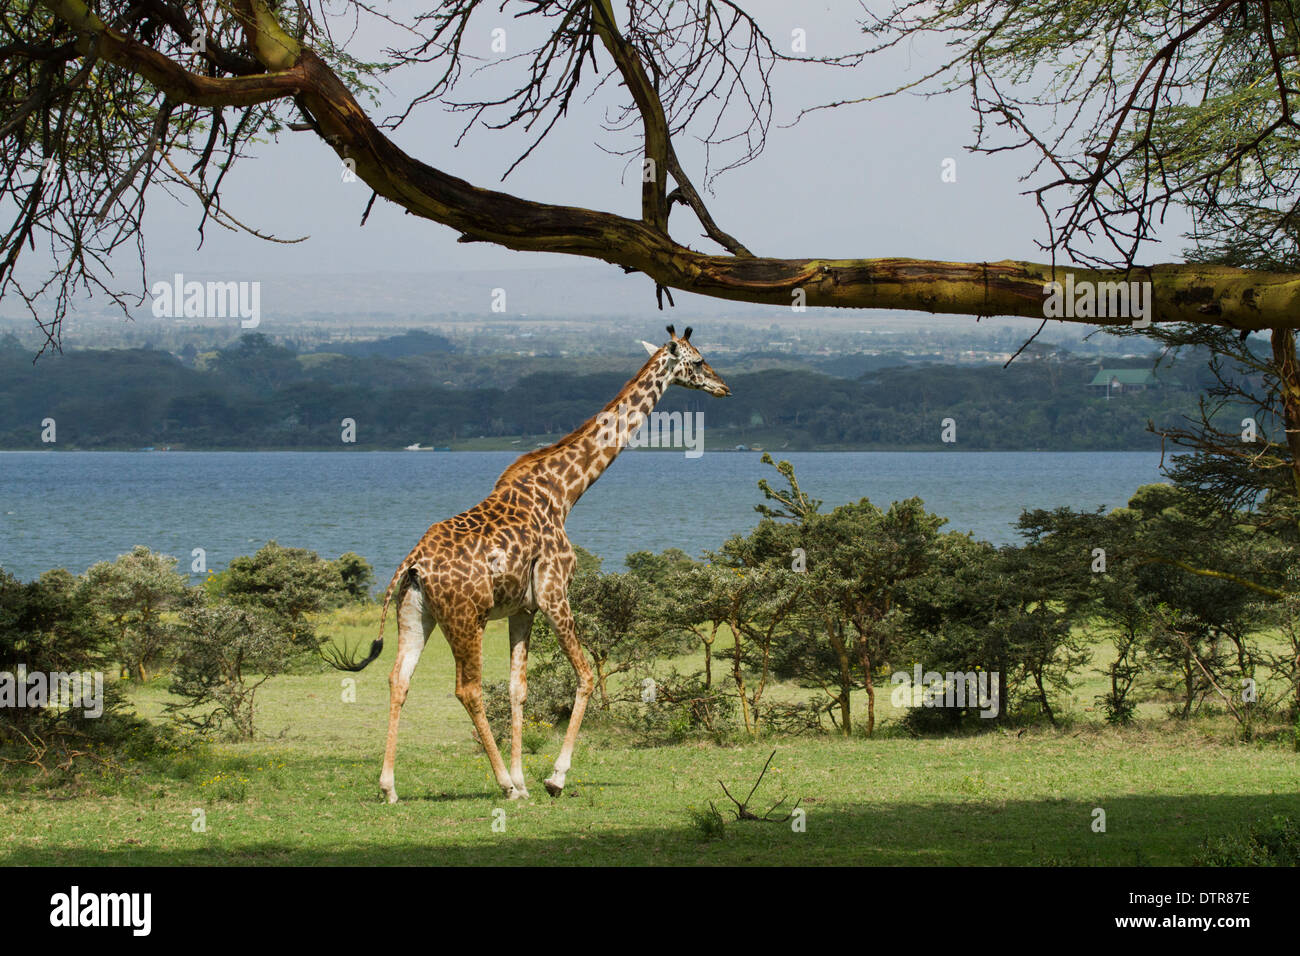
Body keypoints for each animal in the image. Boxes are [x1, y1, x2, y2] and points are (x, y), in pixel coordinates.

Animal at [325, 325, 733, 806]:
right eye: (699, 359)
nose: (724, 387)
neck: (564, 491)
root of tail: (413, 564)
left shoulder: (524, 608)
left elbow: (519, 689)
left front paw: (524, 778)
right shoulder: (556, 592)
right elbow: (585, 676)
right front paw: (552, 778)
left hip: (416, 614)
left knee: (398, 680)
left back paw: (390, 786)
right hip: (466, 618)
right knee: (468, 688)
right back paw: (501, 783)